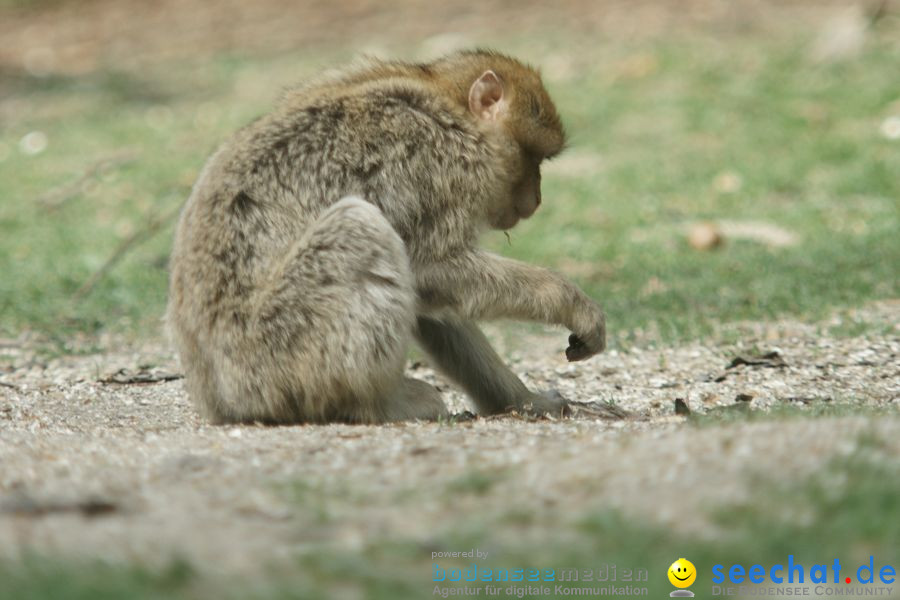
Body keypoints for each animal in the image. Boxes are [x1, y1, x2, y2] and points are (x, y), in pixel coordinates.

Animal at [166, 52, 608, 426]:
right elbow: (432, 267)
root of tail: (221, 401)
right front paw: (568, 301)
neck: (449, 104)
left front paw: (520, 400)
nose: (535, 200)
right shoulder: (436, 167)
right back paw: (376, 404)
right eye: (534, 158)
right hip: (278, 353)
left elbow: (431, 301)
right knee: (360, 226)